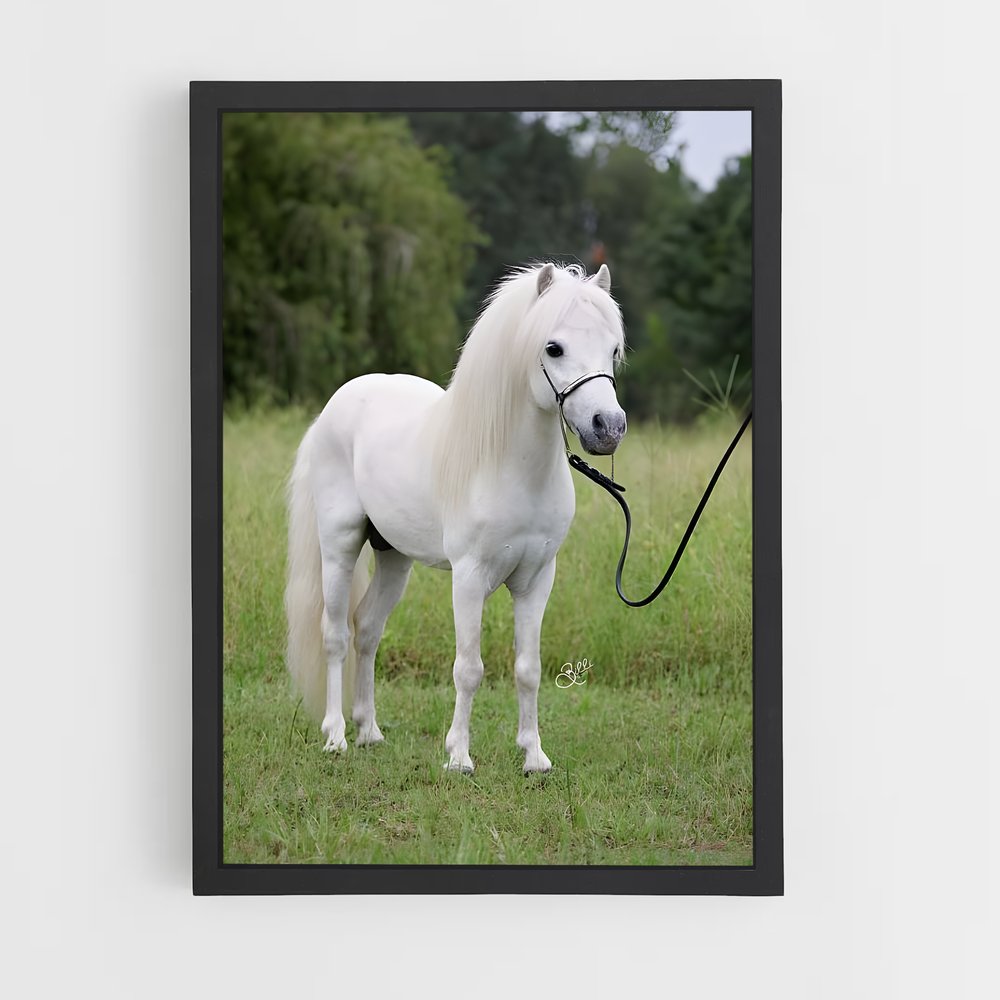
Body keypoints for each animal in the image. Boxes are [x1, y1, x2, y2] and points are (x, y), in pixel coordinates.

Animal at [284, 262, 627, 773]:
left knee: (367, 629)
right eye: (554, 347)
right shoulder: (468, 578)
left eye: (613, 348)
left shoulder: (537, 579)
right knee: (335, 635)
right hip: (339, 546)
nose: (608, 427)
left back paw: (369, 731)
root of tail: (335, 406)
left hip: (394, 558)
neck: (508, 467)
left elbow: (528, 669)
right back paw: (336, 736)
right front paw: (459, 757)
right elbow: (469, 669)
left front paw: (534, 757)